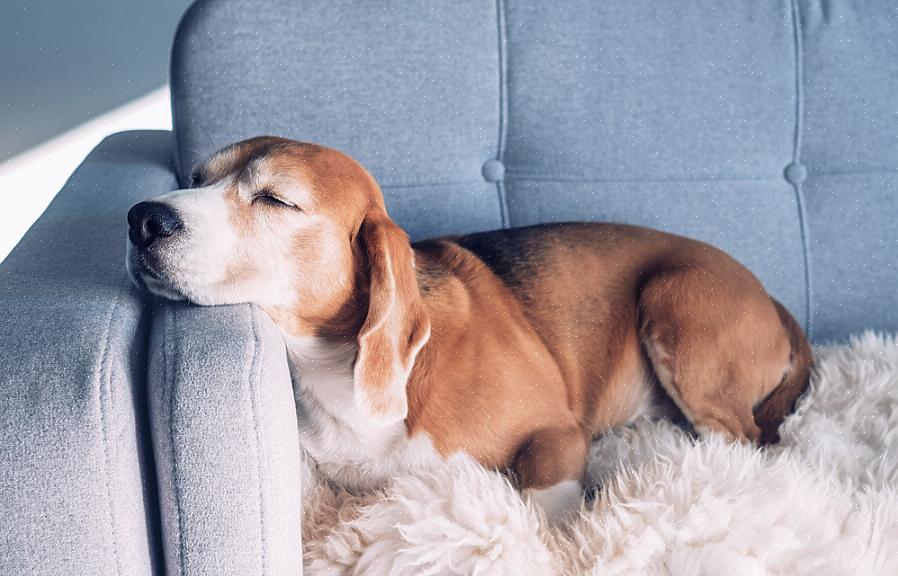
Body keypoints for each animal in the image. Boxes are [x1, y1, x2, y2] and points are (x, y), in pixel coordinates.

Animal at [128, 137, 812, 520]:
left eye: (275, 199)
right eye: (194, 179)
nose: (140, 218)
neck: (334, 371)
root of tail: (772, 299)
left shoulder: (557, 433)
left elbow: (542, 502)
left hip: (674, 301)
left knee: (743, 439)